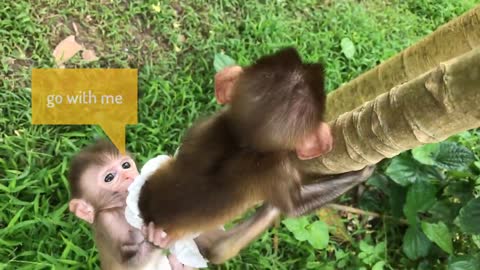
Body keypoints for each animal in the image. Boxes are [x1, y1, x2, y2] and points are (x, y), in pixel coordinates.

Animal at [139, 46, 376, 253]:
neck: (244, 144)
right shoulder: (279, 170)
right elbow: (295, 206)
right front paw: (364, 172)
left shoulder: (206, 124)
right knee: (219, 248)